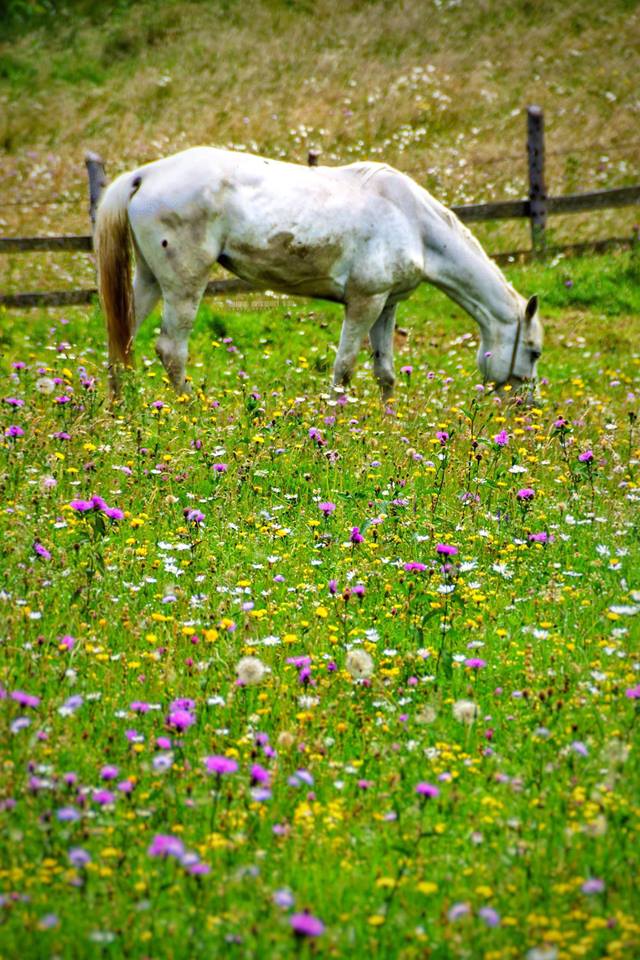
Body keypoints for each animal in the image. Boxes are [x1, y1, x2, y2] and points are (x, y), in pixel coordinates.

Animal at [92, 148, 544, 396]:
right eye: (534, 351)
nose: (526, 405)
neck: (412, 221)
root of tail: (144, 175)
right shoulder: (364, 303)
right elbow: (343, 370)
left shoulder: (386, 305)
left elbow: (385, 374)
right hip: (184, 284)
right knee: (171, 350)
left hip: (148, 280)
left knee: (122, 342)